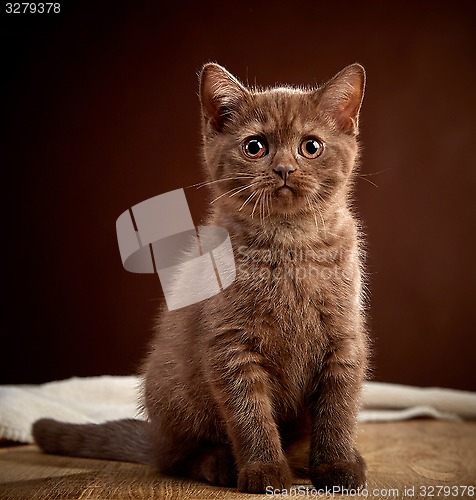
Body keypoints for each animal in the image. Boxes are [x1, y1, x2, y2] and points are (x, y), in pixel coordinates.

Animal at [34, 61, 368, 492]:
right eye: (255, 146)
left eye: (311, 146)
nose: (284, 169)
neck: (288, 242)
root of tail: (155, 437)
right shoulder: (230, 345)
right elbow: (251, 415)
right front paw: (264, 472)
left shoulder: (344, 339)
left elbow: (337, 411)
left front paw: (337, 466)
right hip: (176, 396)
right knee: (177, 457)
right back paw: (221, 464)